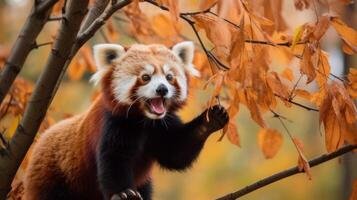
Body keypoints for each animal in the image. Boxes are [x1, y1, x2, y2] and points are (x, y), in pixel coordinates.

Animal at [22, 41, 228, 199]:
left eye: (169, 77)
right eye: (145, 77)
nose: (162, 89)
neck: (145, 120)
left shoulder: (162, 124)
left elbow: (176, 152)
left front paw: (211, 120)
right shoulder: (113, 122)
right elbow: (114, 159)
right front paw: (123, 193)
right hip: (53, 179)